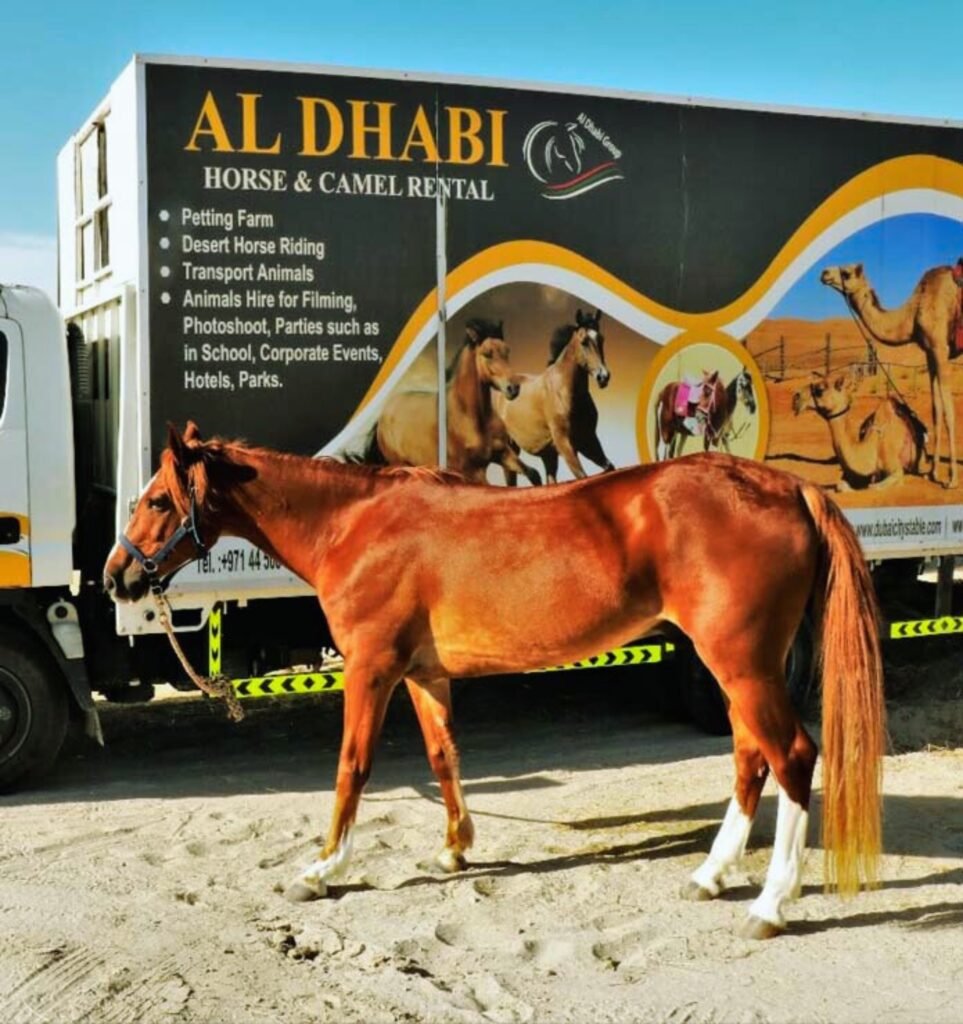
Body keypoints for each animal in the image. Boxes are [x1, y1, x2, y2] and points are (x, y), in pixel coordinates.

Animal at [107, 425, 889, 942]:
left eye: (155, 500)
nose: (116, 577)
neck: (354, 527)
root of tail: (788, 488)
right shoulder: (423, 674)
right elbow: (443, 757)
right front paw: (454, 848)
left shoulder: (370, 669)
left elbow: (352, 767)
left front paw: (322, 868)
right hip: (733, 667)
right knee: (750, 759)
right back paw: (710, 876)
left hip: (744, 663)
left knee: (791, 757)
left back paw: (770, 904)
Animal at [493, 307, 614, 483]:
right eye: (584, 342)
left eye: (601, 339)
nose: (603, 376)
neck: (564, 392)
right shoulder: (565, 443)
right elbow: (582, 476)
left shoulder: (588, 440)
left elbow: (609, 467)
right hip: (511, 449)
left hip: (548, 455)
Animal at [823, 264, 958, 487]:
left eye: (846, 273)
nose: (824, 273)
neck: (913, 314)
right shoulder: (930, 351)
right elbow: (936, 410)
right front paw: (933, 473)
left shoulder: (941, 347)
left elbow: (948, 412)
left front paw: (952, 479)